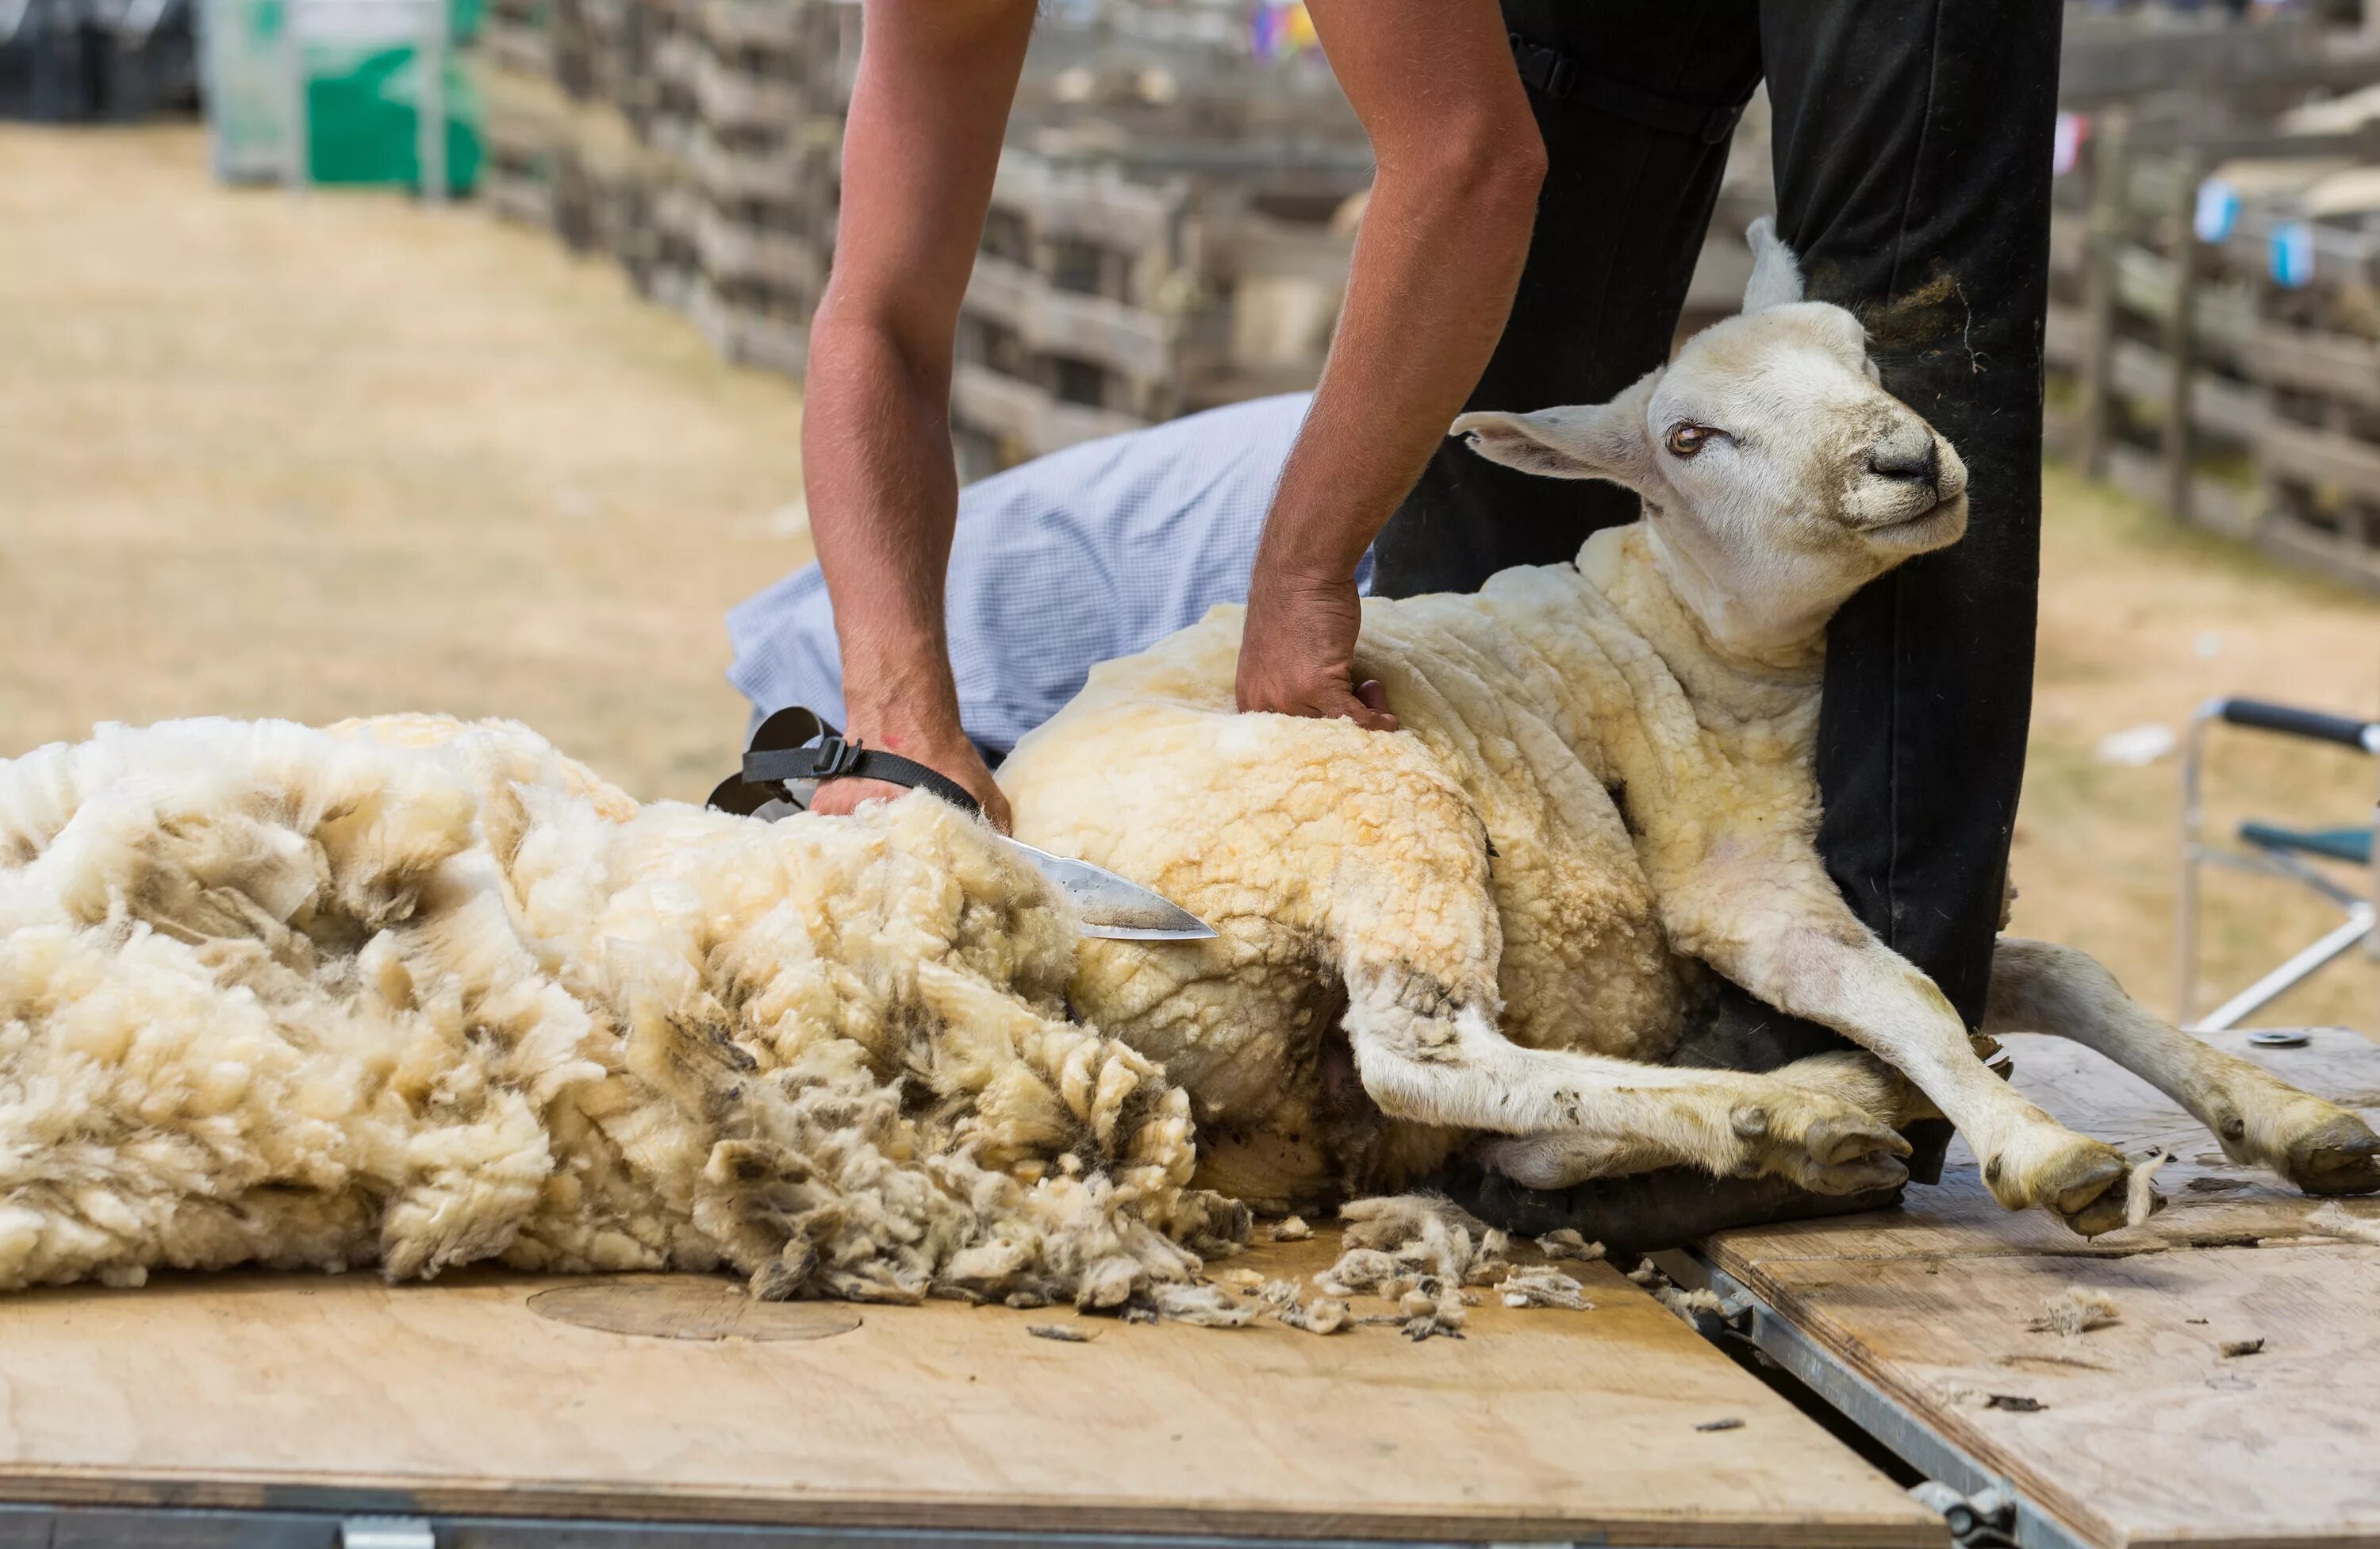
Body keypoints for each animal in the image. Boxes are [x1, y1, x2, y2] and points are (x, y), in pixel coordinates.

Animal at [1004, 221, 2380, 1237]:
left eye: (1864, 354)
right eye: (1688, 438)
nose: (1906, 461)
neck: (1704, 644)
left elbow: (2054, 975)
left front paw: (2290, 1120)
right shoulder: (1739, 892)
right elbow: (1903, 988)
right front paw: (2043, 1152)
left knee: (1475, 1135)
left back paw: (1795, 1117)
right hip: (1366, 808)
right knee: (1428, 1051)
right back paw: (1792, 1109)